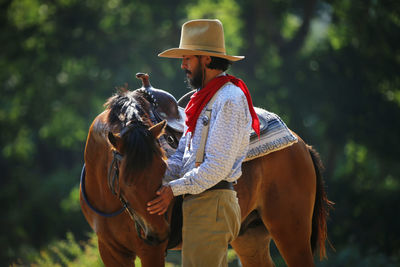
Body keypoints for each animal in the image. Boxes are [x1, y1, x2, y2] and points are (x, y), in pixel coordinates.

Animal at [80, 82, 332, 266]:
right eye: (128, 181)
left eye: (162, 169)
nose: (159, 233)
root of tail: (300, 144)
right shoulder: (111, 251)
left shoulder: (151, 251)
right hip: (249, 236)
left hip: (290, 233)